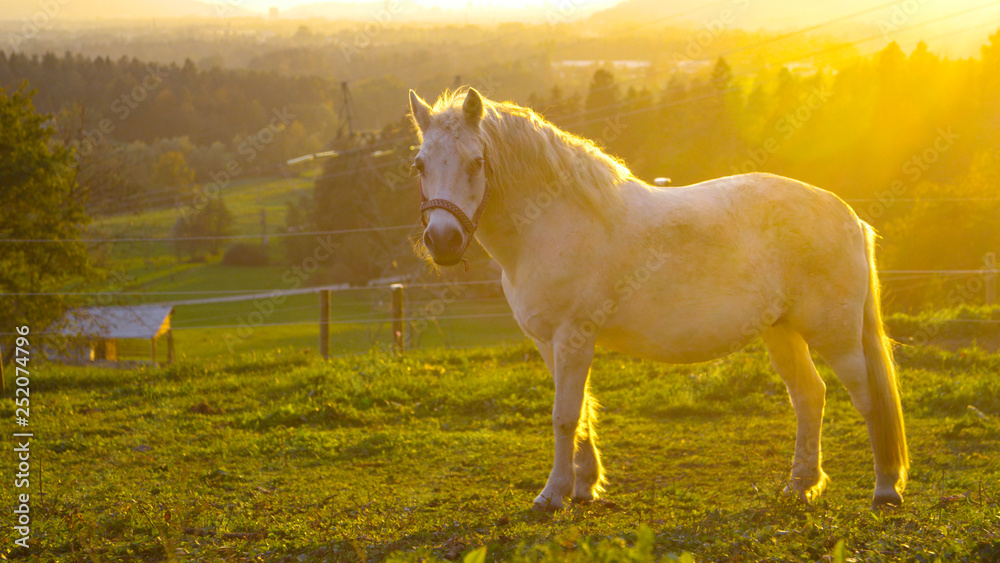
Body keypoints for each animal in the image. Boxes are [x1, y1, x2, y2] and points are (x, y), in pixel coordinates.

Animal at [410, 87, 912, 512]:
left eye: (476, 162)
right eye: (419, 165)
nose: (443, 241)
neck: (552, 221)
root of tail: (849, 216)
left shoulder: (574, 336)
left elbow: (565, 416)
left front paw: (553, 496)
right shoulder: (547, 342)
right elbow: (581, 412)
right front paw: (584, 486)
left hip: (836, 335)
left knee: (867, 397)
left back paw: (885, 489)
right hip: (782, 332)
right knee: (810, 395)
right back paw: (800, 485)